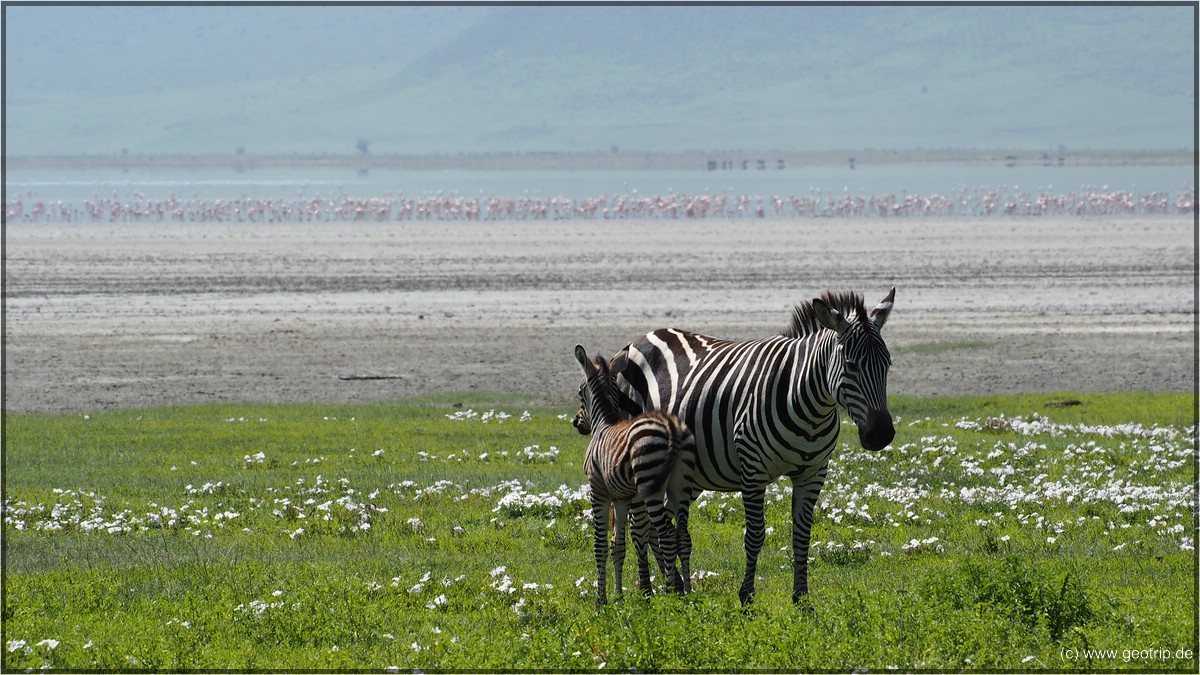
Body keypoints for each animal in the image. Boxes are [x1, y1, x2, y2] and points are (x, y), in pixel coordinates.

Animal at [576, 343, 700, 600]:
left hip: (649, 485)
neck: (605, 422)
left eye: (580, 391)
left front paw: (601, 600)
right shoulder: (622, 498)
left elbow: (600, 544)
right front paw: (619, 597)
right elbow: (619, 545)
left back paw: (670, 593)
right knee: (682, 535)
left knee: (665, 535)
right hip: (680, 485)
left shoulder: (598, 490)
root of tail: (671, 428)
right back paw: (687, 593)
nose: (576, 422)